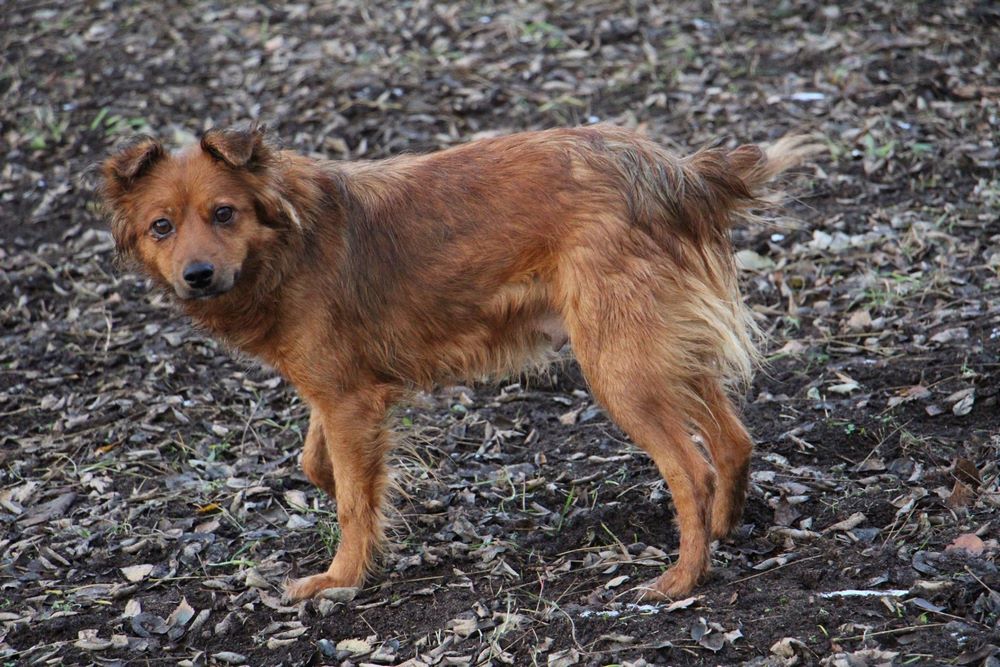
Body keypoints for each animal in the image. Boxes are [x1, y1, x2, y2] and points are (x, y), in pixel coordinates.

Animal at [100, 123, 814, 601]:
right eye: (162, 227)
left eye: (224, 213)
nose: (196, 276)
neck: (287, 242)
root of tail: (668, 170)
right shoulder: (337, 391)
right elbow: (318, 464)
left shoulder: (347, 399)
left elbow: (351, 500)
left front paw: (341, 576)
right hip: (655, 348)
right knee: (733, 439)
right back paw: (724, 528)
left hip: (618, 367)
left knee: (690, 468)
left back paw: (682, 578)